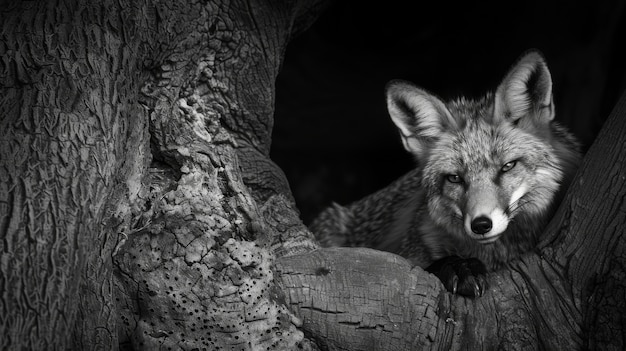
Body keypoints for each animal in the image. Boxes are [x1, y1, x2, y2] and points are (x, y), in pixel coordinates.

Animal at [308, 49, 580, 296]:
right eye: (455, 178)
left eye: (507, 167)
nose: (481, 225)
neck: (497, 254)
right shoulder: (405, 254)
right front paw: (461, 268)